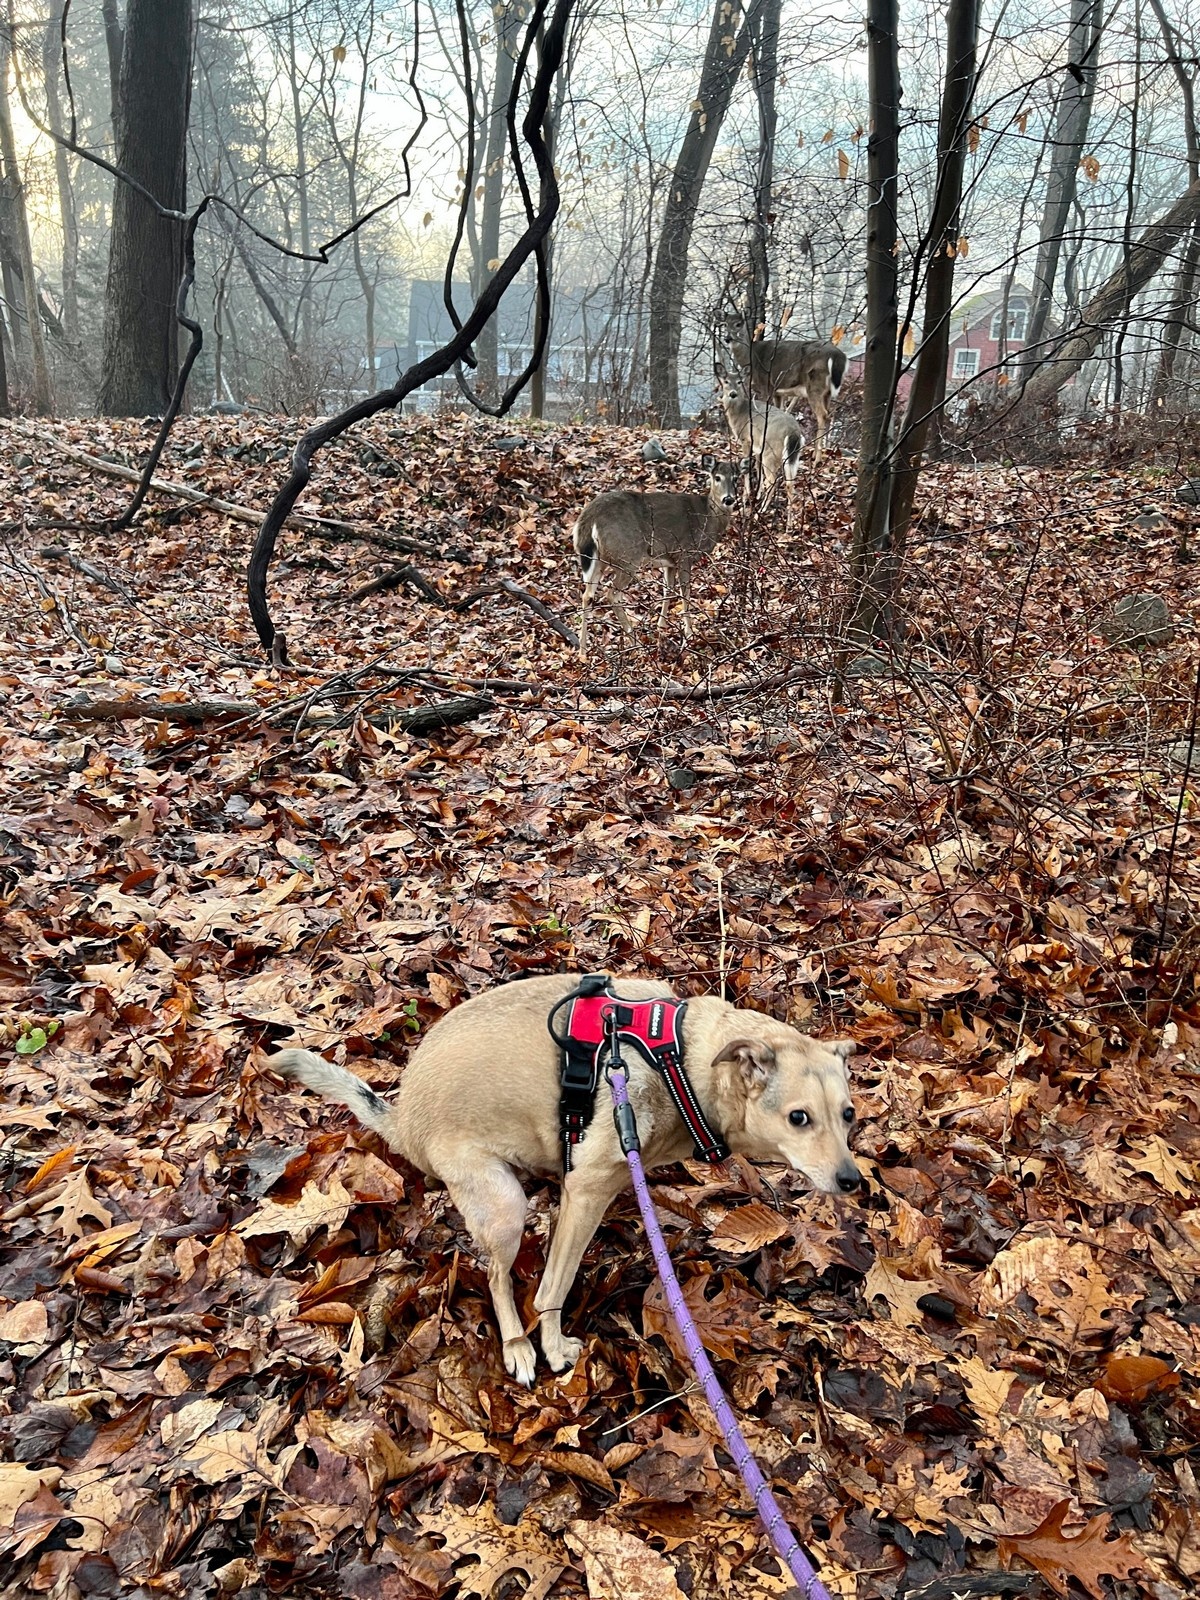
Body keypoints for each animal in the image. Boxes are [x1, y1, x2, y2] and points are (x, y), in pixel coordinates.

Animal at [272, 966, 857, 1382]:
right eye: (799, 1118)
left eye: (849, 1114)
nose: (853, 1181)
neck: (680, 1061)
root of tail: (402, 1119)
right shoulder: (586, 1190)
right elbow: (553, 1285)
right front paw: (552, 1347)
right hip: (505, 1207)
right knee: (497, 1278)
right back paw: (516, 1347)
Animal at [572, 454, 742, 652]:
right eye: (717, 477)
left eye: (736, 478)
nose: (728, 499)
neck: (708, 518)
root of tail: (588, 519)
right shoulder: (684, 553)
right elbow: (685, 592)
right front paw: (689, 634)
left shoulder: (670, 561)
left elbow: (668, 590)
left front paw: (661, 627)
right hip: (627, 555)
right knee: (612, 594)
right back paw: (634, 642)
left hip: (599, 559)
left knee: (588, 595)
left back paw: (583, 649)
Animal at [713, 368, 809, 499]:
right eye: (726, 381)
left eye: (739, 382)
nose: (733, 394)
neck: (740, 412)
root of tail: (793, 432)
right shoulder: (758, 447)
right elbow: (758, 470)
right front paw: (757, 493)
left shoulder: (746, 439)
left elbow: (747, 467)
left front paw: (747, 494)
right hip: (793, 454)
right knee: (790, 482)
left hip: (770, 452)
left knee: (773, 481)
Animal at [720, 313, 851, 454]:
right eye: (725, 324)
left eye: (738, 324)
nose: (727, 338)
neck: (752, 358)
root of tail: (839, 356)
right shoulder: (779, 392)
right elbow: (781, 411)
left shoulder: (767, 385)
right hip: (827, 391)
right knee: (830, 413)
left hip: (815, 384)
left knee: (822, 415)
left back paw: (817, 455)